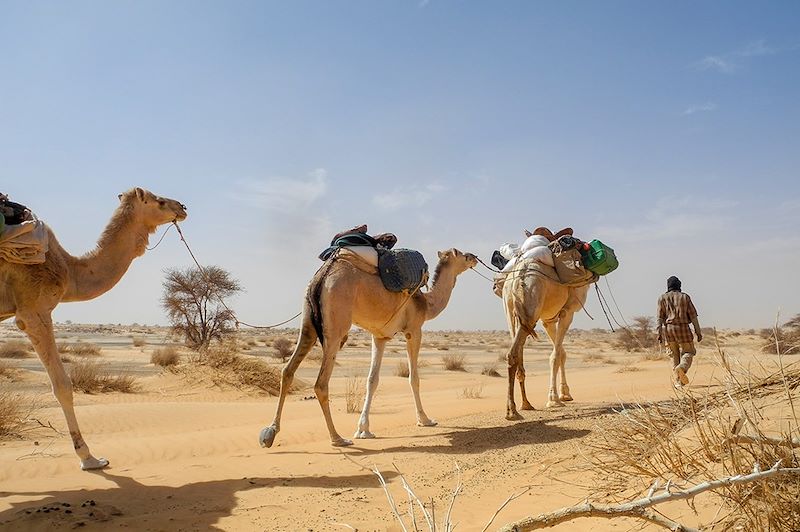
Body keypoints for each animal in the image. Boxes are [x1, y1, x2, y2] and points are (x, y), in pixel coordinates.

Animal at [0, 188, 188, 470]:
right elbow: (63, 386)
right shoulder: (33, 311)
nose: (183, 207)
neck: (69, 269)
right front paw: (89, 458)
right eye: (160, 201)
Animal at [260, 247, 478, 446]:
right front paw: (425, 420)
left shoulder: (379, 337)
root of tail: (323, 276)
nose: (474, 257)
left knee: (288, 370)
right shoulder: (414, 330)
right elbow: (413, 378)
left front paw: (363, 429)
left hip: (307, 321)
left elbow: (372, 380)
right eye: (462, 254)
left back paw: (270, 432)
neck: (426, 303)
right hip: (337, 325)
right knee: (321, 383)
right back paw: (337, 438)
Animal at [504, 260, 592, 422]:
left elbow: (561, 353)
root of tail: (520, 275)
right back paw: (512, 412)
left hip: (511, 309)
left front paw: (565, 394)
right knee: (513, 353)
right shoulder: (567, 312)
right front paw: (554, 399)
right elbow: (555, 356)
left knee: (515, 352)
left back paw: (525, 405)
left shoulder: (548, 319)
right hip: (531, 306)